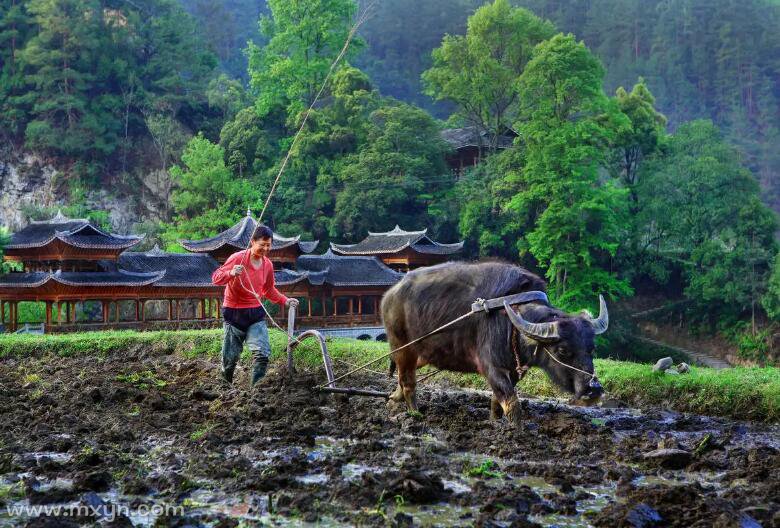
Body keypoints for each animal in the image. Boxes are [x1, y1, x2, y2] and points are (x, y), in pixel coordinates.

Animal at [380, 260, 608, 424]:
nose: (593, 388)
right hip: (403, 347)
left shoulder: (513, 370)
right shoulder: (492, 366)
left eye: (592, 348)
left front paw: (494, 422)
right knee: (408, 380)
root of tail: (390, 294)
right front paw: (516, 430)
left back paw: (393, 399)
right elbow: (512, 401)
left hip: (423, 353)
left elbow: (498, 400)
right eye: (562, 350)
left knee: (403, 374)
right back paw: (415, 414)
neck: (511, 322)